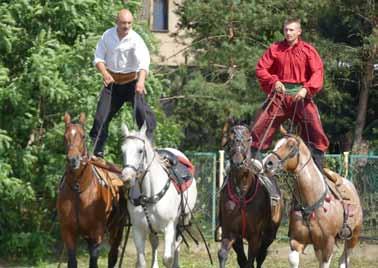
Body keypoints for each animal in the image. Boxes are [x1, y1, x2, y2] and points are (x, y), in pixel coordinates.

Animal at [56, 113, 127, 268]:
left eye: (83, 136)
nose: (73, 160)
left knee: (113, 255)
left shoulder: (97, 233)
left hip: (117, 228)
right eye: (65, 136)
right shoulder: (68, 231)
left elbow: (94, 262)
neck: (78, 189)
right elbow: (72, 261)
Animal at [120, 123, 198, 268]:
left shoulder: (169, 227)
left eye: (140, 151)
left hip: (183, 220)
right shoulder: (138, 230)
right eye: (123, 151)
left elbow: (167, 259)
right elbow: (141, 262)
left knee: (177, 244)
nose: (127, 178)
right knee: (155, 242)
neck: (148, 195)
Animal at [217, 124, 282, 266]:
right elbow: (225, 254)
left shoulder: (255, 236)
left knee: (261, 255)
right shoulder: (229, 232)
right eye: (231, 140)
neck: (242, 193)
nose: (238, 162)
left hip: (269, 235)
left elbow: (251, 259)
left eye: (248, 139)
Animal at [262, 133, 364, 268]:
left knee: (343, 260)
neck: (311, 203)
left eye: (291, 146)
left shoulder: (328, 244)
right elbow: (293, 259)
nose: (267, 163)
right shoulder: (297, 241)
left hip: (353, 237)